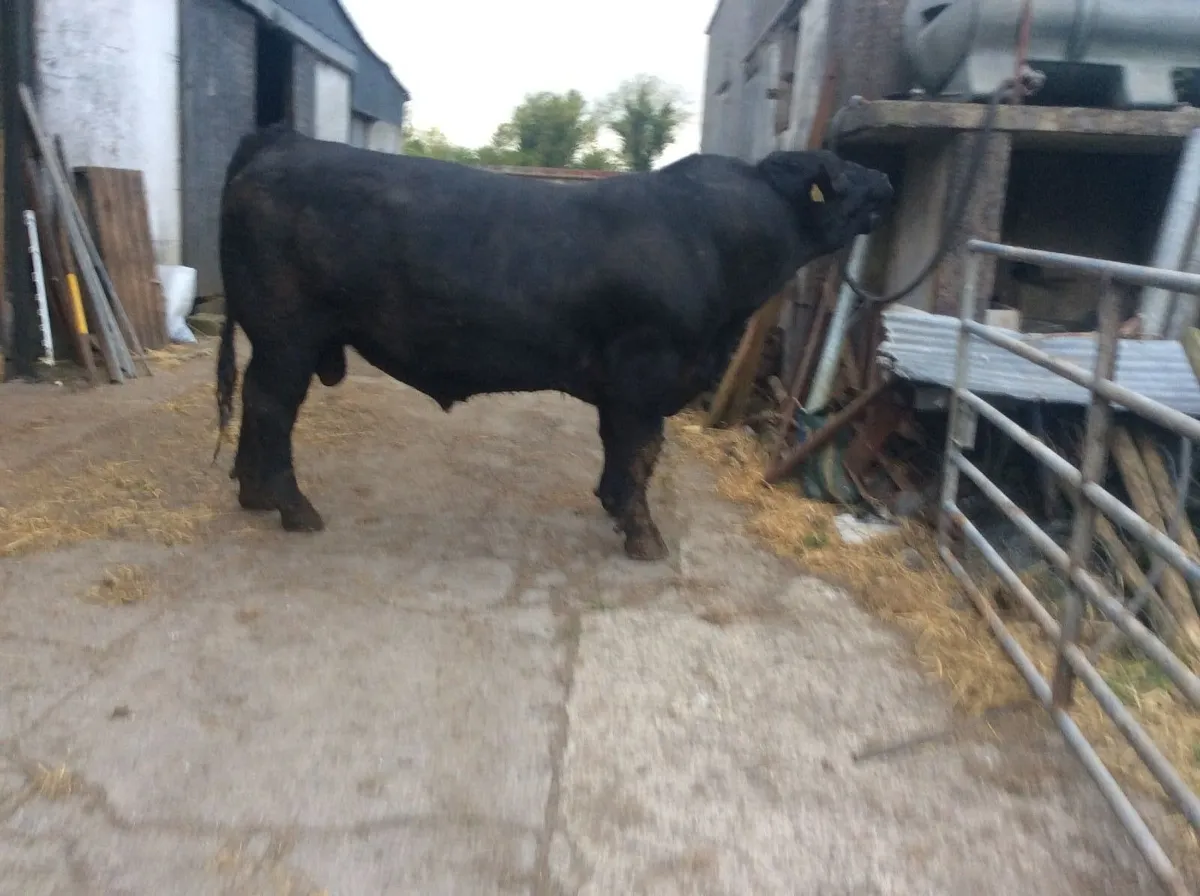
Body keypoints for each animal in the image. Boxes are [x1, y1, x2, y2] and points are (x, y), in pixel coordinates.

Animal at [214, 124, 893, 561]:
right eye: (840, 176)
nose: (885, 176)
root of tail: (283, 142)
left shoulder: (628, 383)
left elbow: (622, 450)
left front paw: (614, 508)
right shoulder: (646, 373)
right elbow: (640, 452)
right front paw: (643, 535)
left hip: (277, 339)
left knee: (255, 401)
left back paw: (253, 495)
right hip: (288, 334)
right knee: (272, 408)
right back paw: (294, 509)